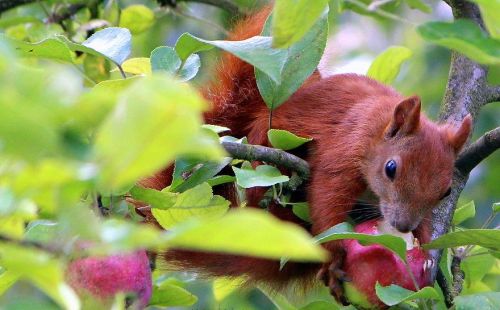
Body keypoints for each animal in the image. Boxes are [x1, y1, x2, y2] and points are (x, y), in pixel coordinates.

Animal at [138, 6, 472, 302]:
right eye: (391, 168)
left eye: (446, 192)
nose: (403, 227)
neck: (377, 128)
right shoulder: (345, 149)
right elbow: (327, 196)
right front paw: (334, 258)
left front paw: (425, 248)